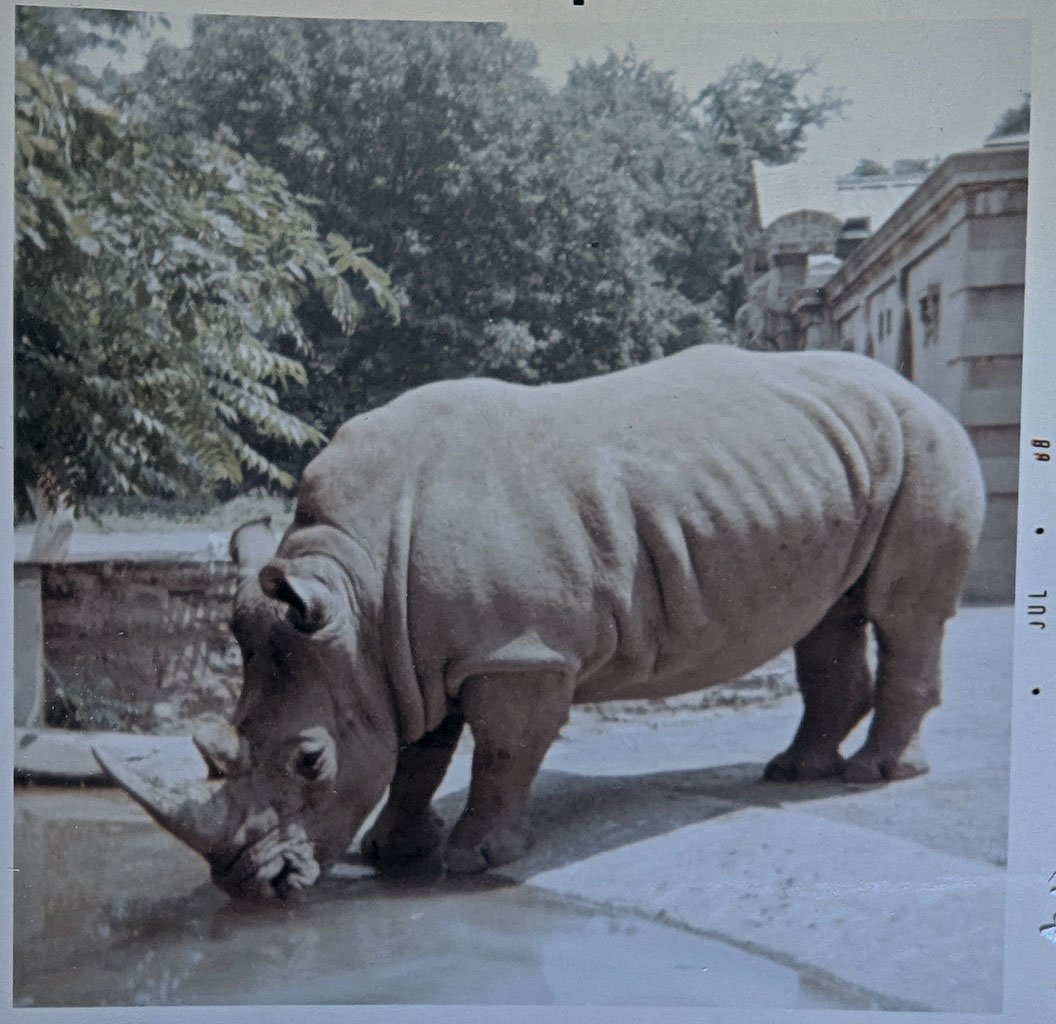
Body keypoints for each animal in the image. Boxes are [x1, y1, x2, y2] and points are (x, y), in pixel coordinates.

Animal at [96, 344, 986, 900]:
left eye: (309, 762)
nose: (254, 886)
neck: (357, 591)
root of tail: (918, 389)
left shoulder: (517, 652)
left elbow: (502, 750)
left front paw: (473, 861)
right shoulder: (402, 656)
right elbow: (417, 750)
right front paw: (392, 854)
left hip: (927, 449)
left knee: (904, 612)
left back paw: (874, 775)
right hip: (838, 461)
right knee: (828, 616)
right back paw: (796, 773)